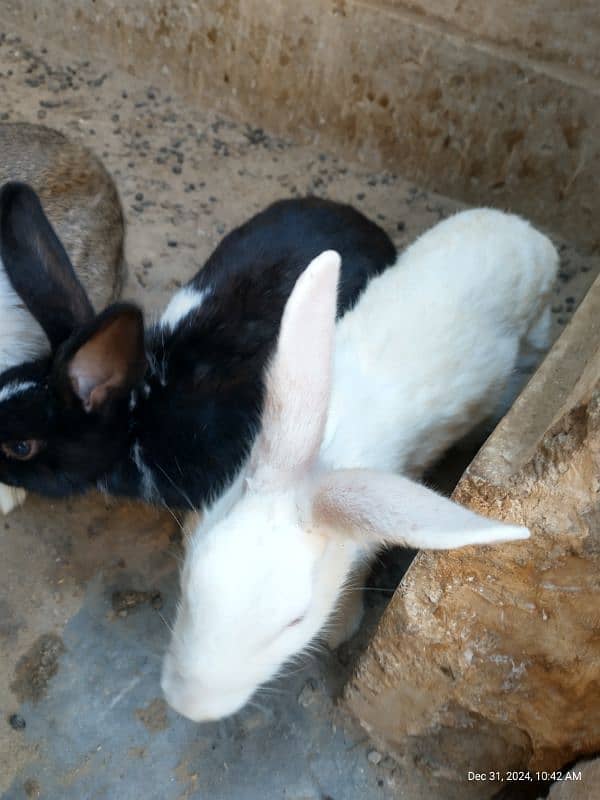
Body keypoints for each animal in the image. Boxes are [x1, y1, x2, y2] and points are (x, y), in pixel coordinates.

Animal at [163, 209, 556, 720]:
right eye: (190, 572)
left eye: (296, 620)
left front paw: (339, 629)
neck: (316, 468)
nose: (190, 707)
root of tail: (523, 230)